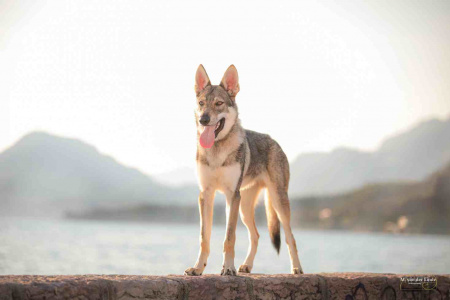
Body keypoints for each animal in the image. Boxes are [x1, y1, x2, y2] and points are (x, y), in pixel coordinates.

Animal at [185, 64, 304, 276]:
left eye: (218, 103)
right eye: (201, 103)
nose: (203, 119)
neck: (217, 149)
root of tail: (274, 140)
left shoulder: (232, 195)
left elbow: (229, 238)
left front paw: (228, 269)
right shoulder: (206, 194)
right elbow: (204, 238)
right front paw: (198, 268)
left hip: (277, 201)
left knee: (290, 237)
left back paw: (297, 268)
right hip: (244, 209)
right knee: (256, 235)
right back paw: (247, 266)